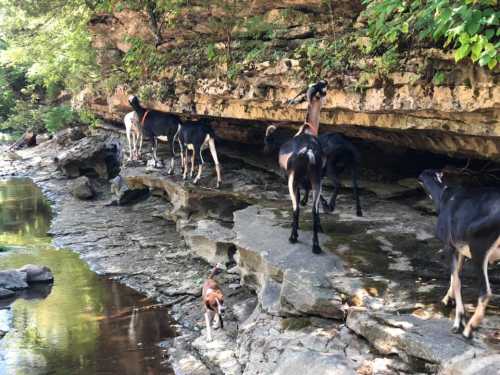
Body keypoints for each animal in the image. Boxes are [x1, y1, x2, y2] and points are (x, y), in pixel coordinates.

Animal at [264, 80, 330, 254]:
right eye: (321, 87)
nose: (325, 82)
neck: (308, 129)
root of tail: (307, 152)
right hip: (314, 180)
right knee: (312, 210)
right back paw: (314, 245)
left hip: (293, 181)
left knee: (297, 208)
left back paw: (295, 237)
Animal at [418, 169, 500, 340]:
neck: (444, 197)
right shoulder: (460, 249)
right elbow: (455, 275)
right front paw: (446, 300)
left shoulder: (449, 245)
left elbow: (456, 281)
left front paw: (457, 322)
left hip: (478, 248)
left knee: (485, 292)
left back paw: (469, 329)